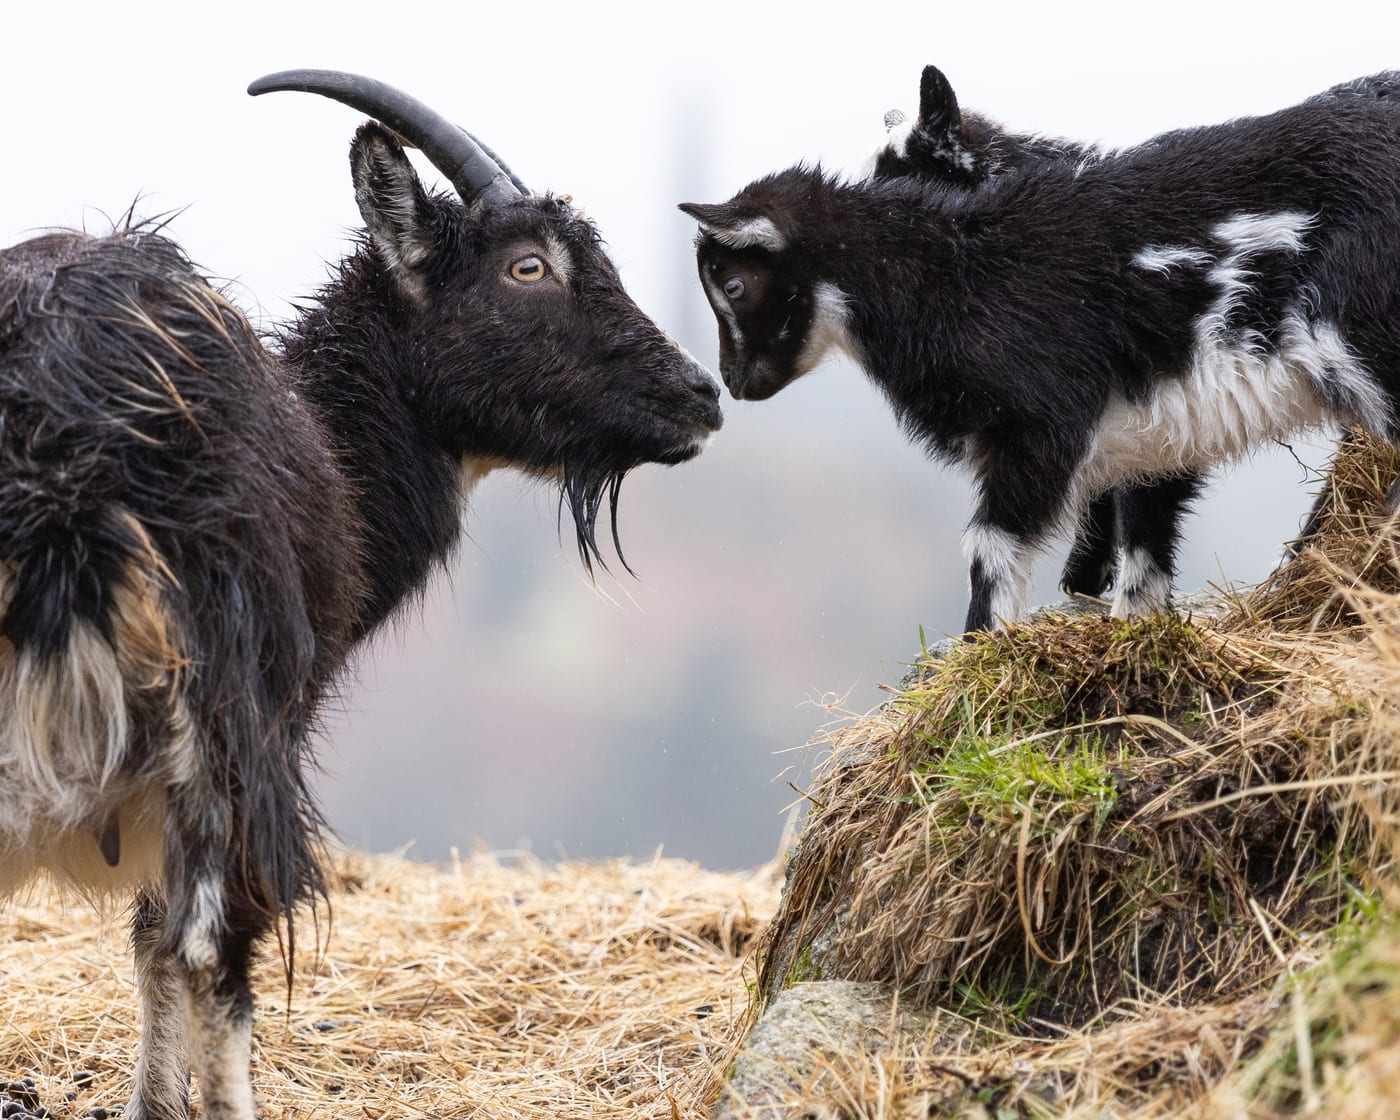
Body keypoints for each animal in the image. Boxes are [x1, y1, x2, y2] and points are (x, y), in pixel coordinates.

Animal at [0, 70, 721, 1120]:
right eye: (529, 267)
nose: (702, 395)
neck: (328, 437)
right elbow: (172, 946)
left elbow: (146, 943)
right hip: (225, 709)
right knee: (218, 944)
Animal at [681, 76, 1400, 634]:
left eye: (734, 285)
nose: (732, 381)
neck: (948, 271)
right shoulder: (1157, 424)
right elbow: (1145, 549)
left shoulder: (1040, 423)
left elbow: (990, 552)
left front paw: (979, 661)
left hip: (1362, 338)